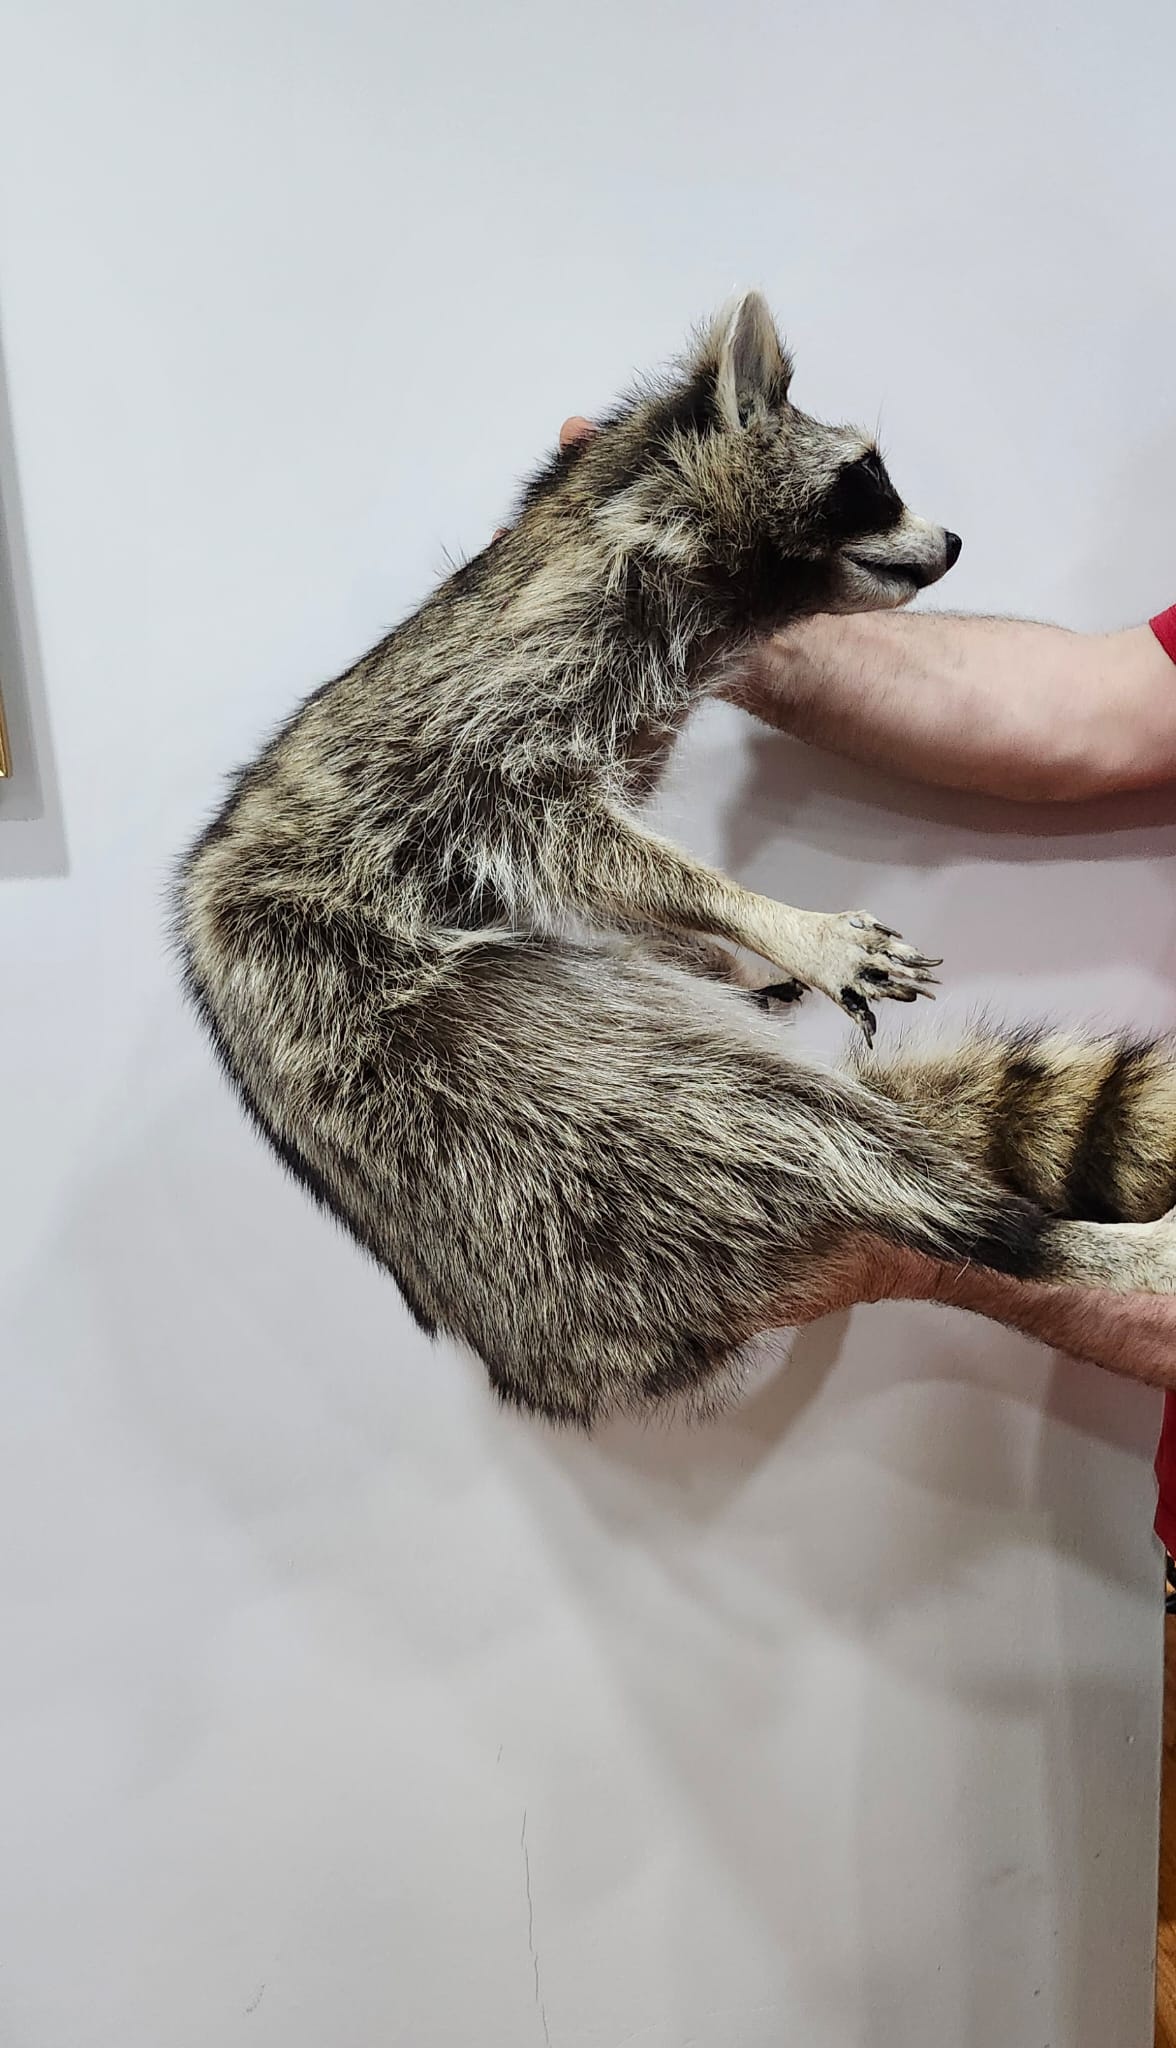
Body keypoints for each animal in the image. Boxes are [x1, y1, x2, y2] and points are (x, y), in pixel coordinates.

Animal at [176, 293, 1176, 1427]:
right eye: (870, 477)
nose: (957, 539)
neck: (660, 541)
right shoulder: (503, 707)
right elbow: (566, 834)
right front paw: (765, 916)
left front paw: (714, 937)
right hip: (427, 1059)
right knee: (743, 1111)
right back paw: (1044, 1240)